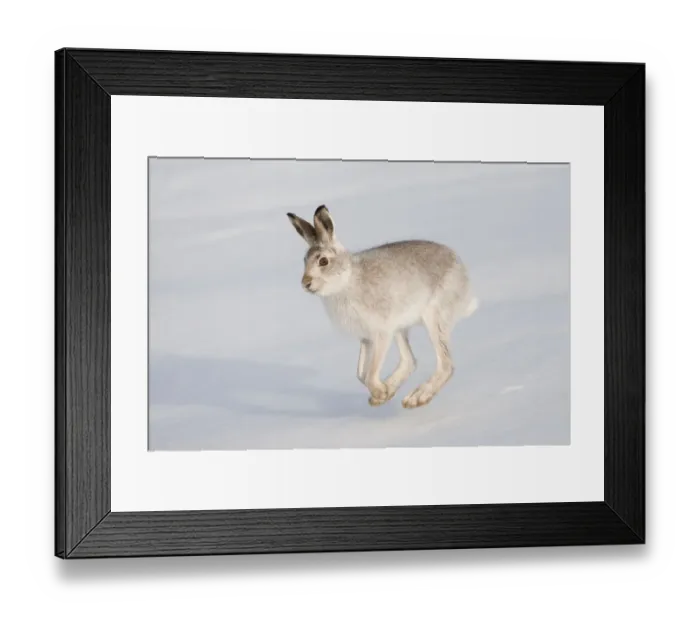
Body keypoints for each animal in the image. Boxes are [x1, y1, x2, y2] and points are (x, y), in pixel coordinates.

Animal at [287, 205, 478, 409]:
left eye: (323, 261)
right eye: (304, 261)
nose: (305, 283)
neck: (346, 281)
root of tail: (462, 274)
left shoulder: (382, 332)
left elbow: (370, 374)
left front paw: (380, 391)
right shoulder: (366, 338)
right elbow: (361, 373)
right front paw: (382, 394)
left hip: (433, 316)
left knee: (445, 365)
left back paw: (417, 398)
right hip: (401, 327)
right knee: (409, 361)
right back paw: (391, 391)